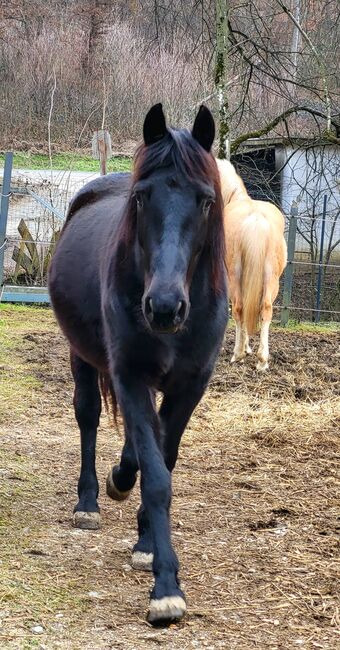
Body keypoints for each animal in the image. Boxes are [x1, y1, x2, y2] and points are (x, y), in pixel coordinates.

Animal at [48, 102, 228, 624]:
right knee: (88, 416)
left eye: (205, 200)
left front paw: (147, 542)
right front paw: (166, 586)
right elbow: (155, 474)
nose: (164, 308)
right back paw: (89, 500)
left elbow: (159, 459)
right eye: (143, 197)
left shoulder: (189, 386)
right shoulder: (129, 375)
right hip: (83, 358)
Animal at [216, 158, 286, 370]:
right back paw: (262, 360)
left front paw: (243, 348)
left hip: (235, 277)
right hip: (271, 279)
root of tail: (255, 220)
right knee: (265, 310)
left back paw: (237, 354)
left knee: (239, 308)